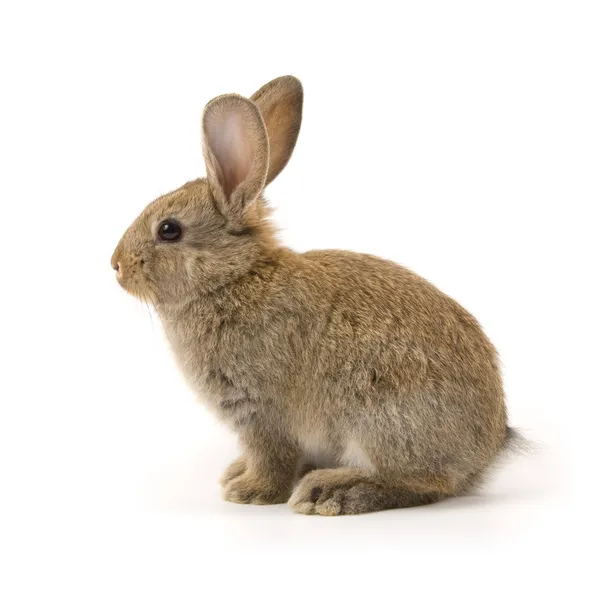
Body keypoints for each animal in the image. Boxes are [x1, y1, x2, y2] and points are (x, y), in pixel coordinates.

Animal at [112, 75, 516, 516]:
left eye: (169, 230)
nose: (116, 265)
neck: (233, 277)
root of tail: (486, 452)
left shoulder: (262, 410)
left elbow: (271, 455)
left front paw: (250, 491)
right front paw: (236, 475)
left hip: (381, 421)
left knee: (423, 483)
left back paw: (331, 491)